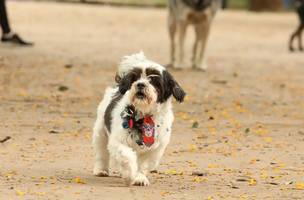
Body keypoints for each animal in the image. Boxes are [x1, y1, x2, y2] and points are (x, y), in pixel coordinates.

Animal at [91, 52, 185, 186]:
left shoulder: (155, 149)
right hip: (100, 132)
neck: (144, 116)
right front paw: (130, 174)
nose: (140, 84)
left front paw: (140, 177)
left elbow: (144, 165)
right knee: (101, 152)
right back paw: (101, 170)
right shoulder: (118, 141)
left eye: (154, 80)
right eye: (135, 78)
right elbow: (127, 156)